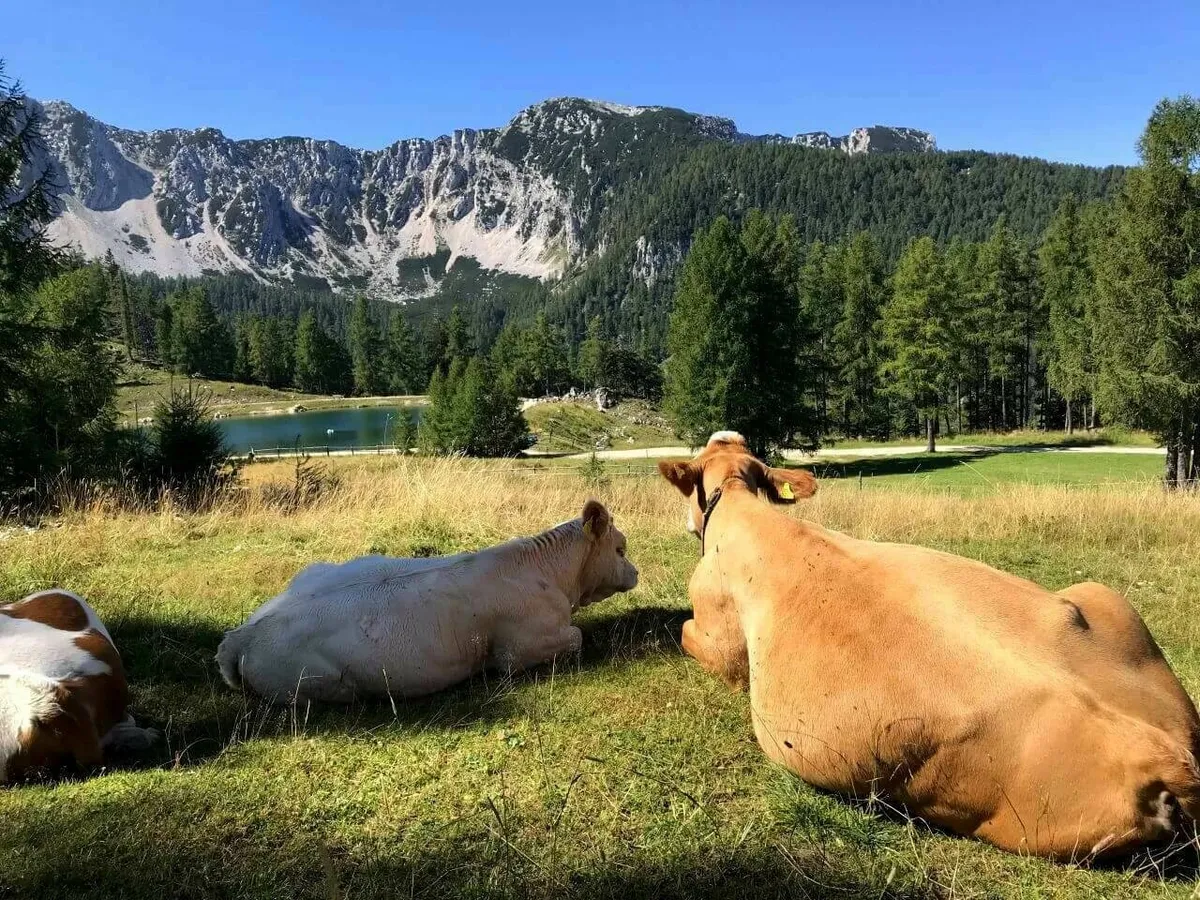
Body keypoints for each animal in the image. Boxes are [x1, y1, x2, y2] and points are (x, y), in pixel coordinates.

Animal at [216, 500, 638, 704]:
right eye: (620, 548)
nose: (636, 572)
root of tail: (239, 637)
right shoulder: (519, 650)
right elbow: (579, 636)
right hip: (318, 686)